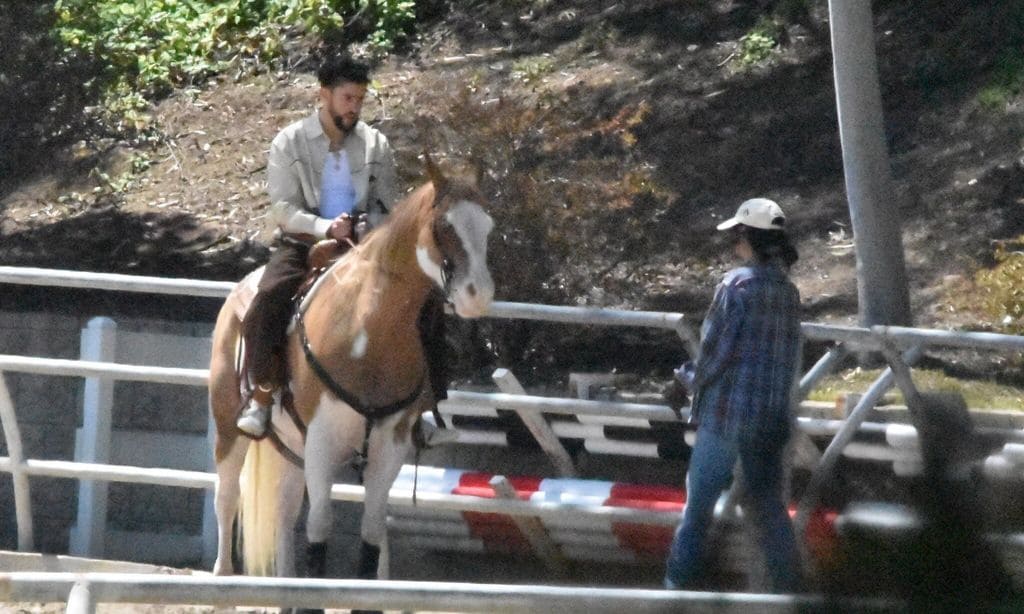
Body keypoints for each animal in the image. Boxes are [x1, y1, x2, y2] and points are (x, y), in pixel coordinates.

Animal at [205, 160, 493, 593]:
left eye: (488, 225)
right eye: (444, 226)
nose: (479, 296)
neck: (367, 331)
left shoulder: (390, 445)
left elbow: (372, 533)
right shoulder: (322, 441)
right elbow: (319, 527)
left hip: (292, 448)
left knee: (284, 513)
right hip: (228, 427)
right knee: (227, 496)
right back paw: (222, 575)